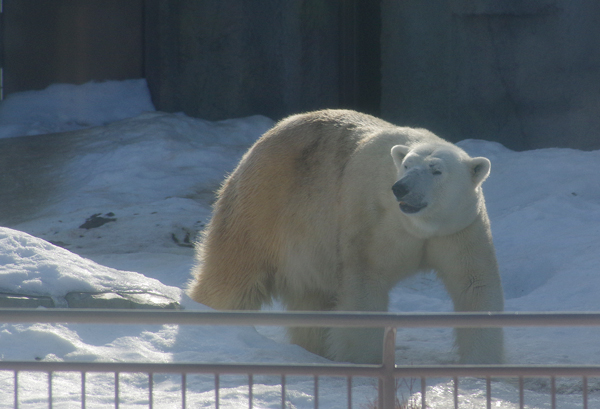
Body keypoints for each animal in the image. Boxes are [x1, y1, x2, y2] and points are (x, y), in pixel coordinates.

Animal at [186, 108, 502, 364]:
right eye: (407, 165)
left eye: (436, 170)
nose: (401, 188)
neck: (418, 226)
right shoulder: (373, 221)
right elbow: (364, 283)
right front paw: (364, 358)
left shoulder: (459, 228)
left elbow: (473, 283)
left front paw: (482, 361)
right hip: (264, 207)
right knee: (233, 277)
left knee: (313, 299)